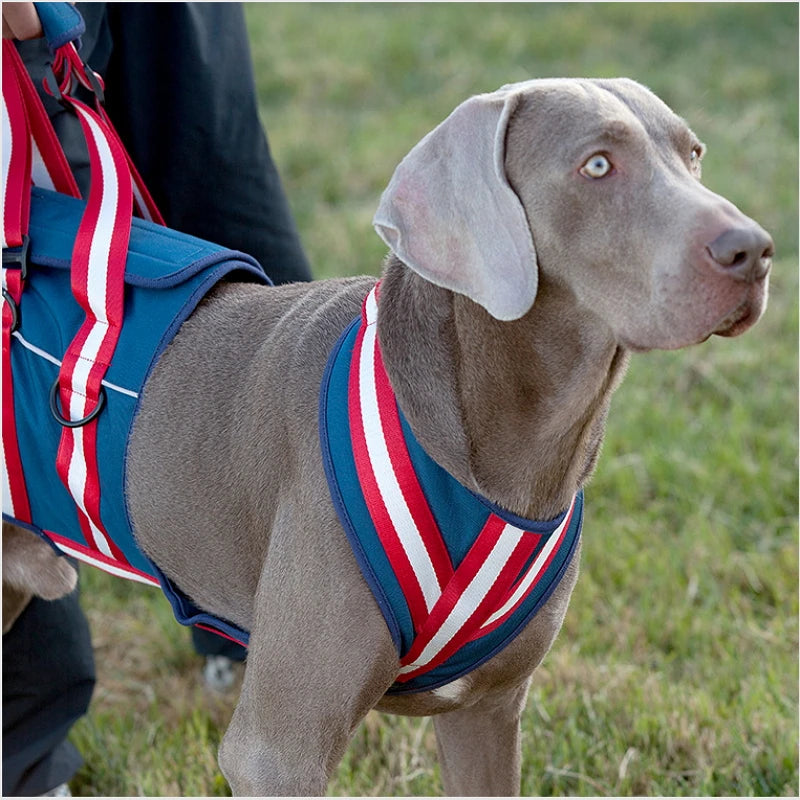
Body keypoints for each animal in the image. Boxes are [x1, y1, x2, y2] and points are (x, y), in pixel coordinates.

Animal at [3, 78, 772, 796]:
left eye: (693, 154)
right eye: (598, 165)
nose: (756, 250)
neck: (509, 458)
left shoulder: (488, 713)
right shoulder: (277, 754)